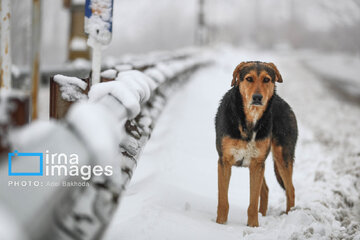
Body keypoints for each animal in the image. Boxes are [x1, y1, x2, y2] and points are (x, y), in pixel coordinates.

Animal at [215, 61, 296, 227]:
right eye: (249, 79)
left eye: (266, 79)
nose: (257, 97)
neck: (250, 120)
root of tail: (284, 103)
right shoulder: (225, 162)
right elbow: (223, 200)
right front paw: (220, 224)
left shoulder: (257, 164)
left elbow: (252, 202)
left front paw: (253, 226)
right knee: (265, 190)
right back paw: (263, 215)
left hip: (282, 158)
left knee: (290, 190)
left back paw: (289, 217)